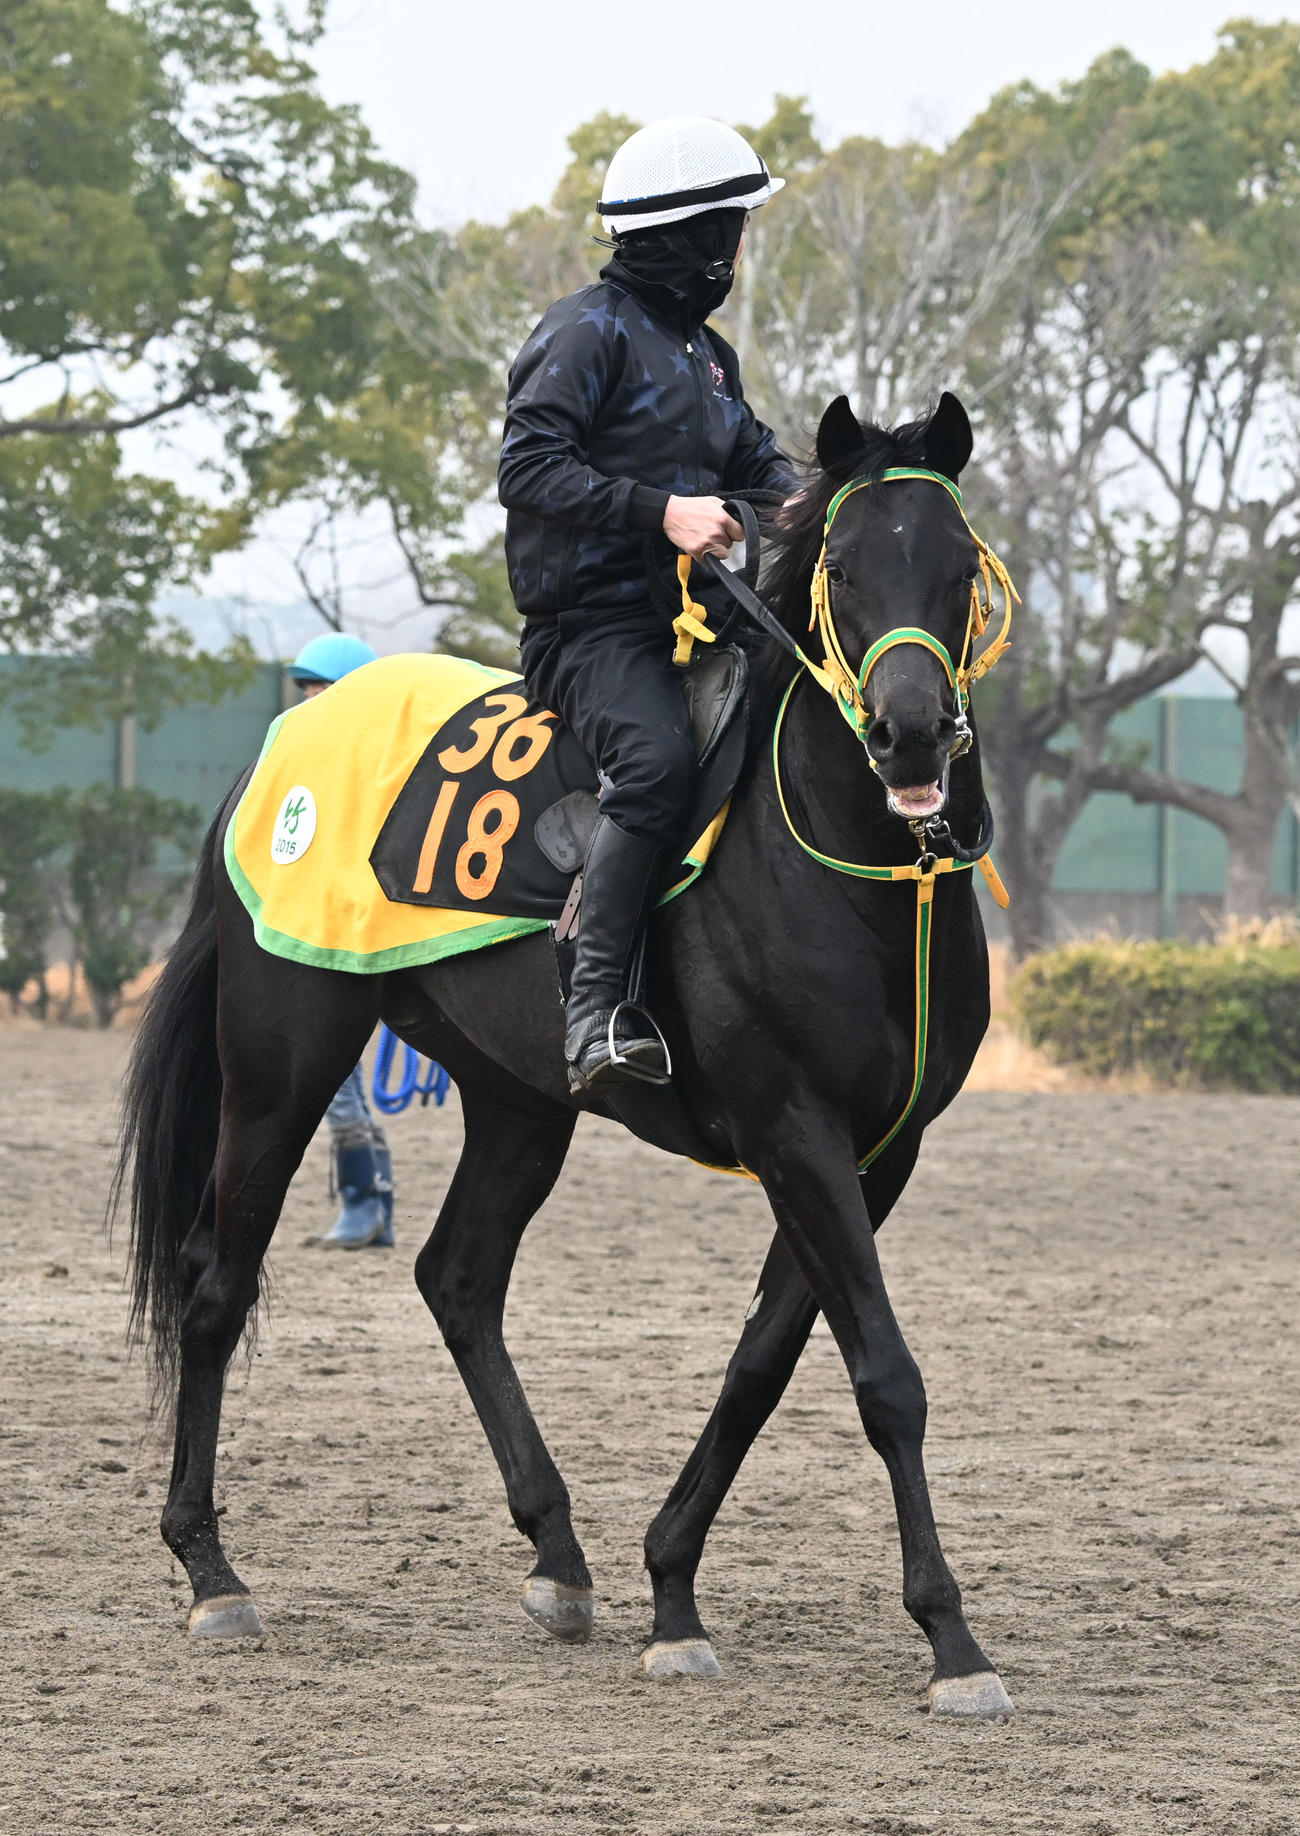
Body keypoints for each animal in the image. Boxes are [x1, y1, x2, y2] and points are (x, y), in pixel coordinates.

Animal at [117, 389, 1018, 1720]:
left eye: (959, 569)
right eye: (845, 570)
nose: (909, 738)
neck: (857, 875)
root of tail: (275, 747)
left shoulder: (874, 1154)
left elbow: (761, 1367)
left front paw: (671, 1588)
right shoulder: (795, 1132)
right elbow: (884, 1378)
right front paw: (950, 1638)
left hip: (518, 1098)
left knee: (457, 1277)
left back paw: (558, 1553)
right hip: (282, 1063)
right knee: (217, 1285)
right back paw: (212, 1573)